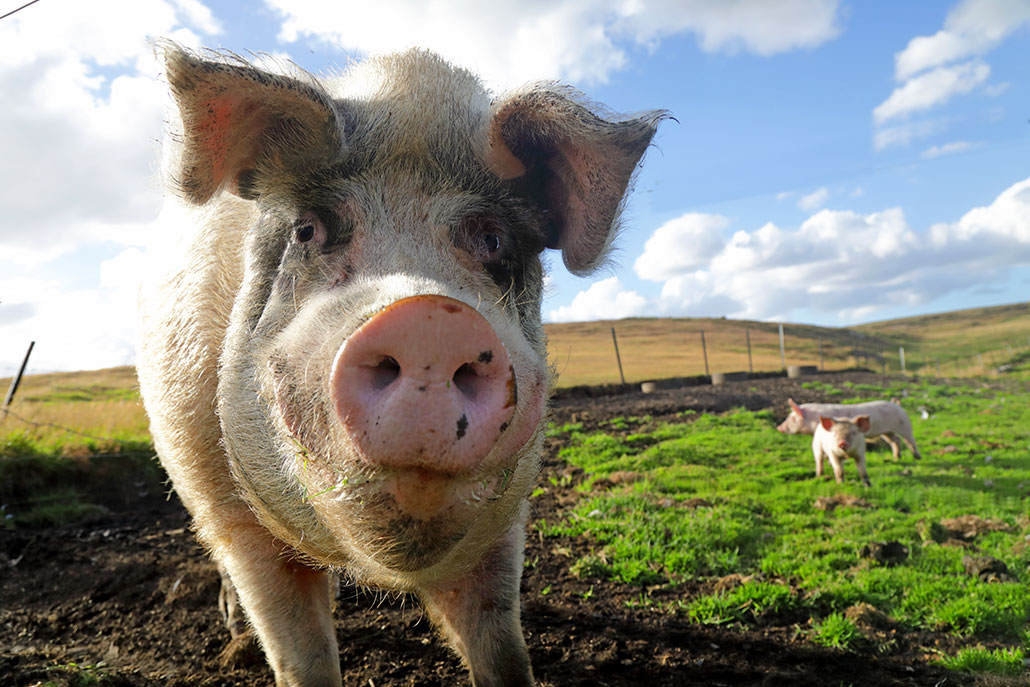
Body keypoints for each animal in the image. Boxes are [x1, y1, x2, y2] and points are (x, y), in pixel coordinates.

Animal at [136, 43, 663, 687]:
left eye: (493, 240)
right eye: (307, 229)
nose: (428, 318)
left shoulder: (505, 516)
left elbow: (499, 645)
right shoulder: (225, 504)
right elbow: (301, 655)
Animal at [777, 398, 922, 461]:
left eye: (792, 417)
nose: (779, 427)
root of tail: (897, 405)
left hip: (905, 425)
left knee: (910, 440)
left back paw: (917, 457)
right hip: (886, 432)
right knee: (895, 440)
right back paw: (897, 458)